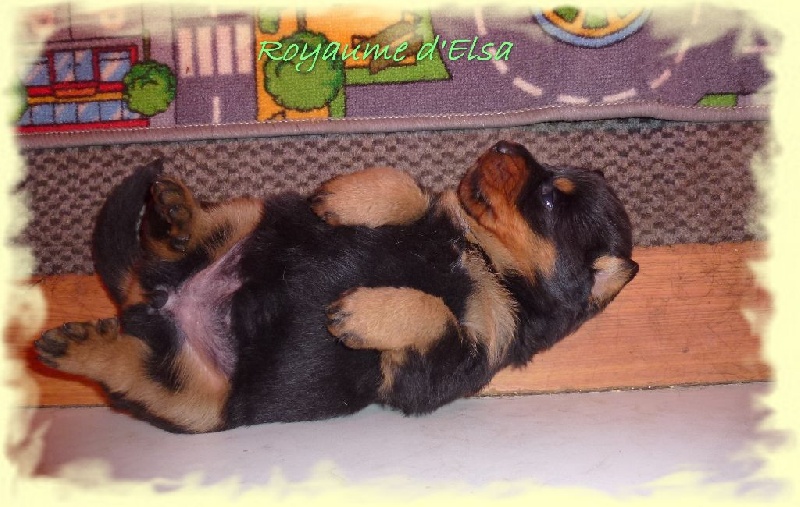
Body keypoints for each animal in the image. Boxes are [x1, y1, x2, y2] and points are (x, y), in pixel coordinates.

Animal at [34, 141, 638, 433]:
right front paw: (344, 199)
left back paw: (79, 344)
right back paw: (174, 213)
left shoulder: (440, 369)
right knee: (194, 235)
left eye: (550, 199)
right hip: (255, 217)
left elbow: (438, 313)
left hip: (197, 402)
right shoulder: (437, 215)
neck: (481, 257)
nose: (504, 143)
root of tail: (150, 301)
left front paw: (361, 316)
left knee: (133, 371)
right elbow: (409, 187)